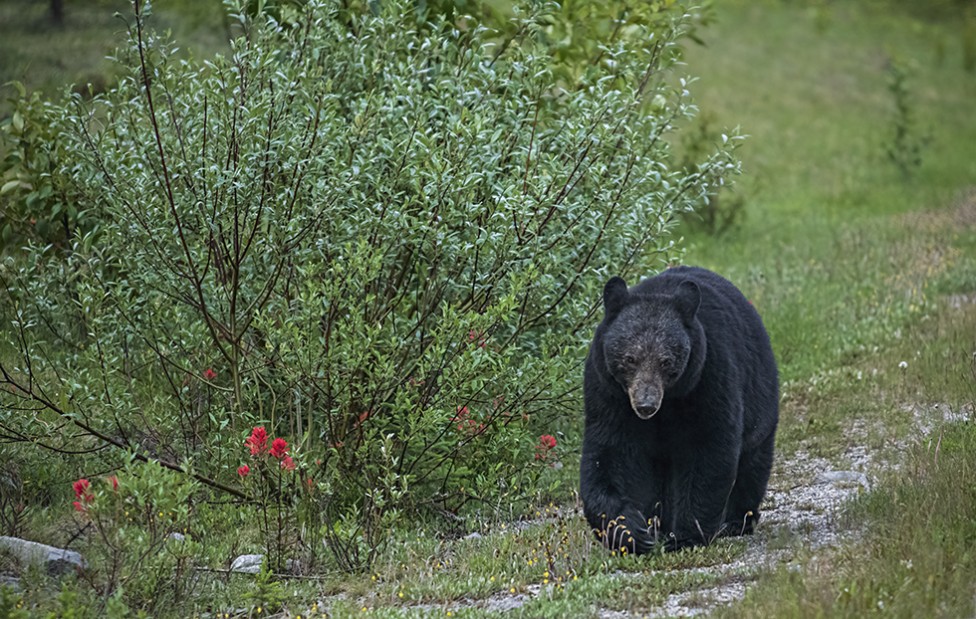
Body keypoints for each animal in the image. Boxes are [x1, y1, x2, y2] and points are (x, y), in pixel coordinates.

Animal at [580, 266, 776, 552]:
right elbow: (611, 454)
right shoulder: (608, 393)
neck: (668, 404)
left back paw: (735, 522)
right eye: (630, 358)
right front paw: (632, 532)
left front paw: (685, 536)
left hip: (759, 401)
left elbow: (707, 450)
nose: (646, 405)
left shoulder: (708, 379)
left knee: (752, 464)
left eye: (666, 361)